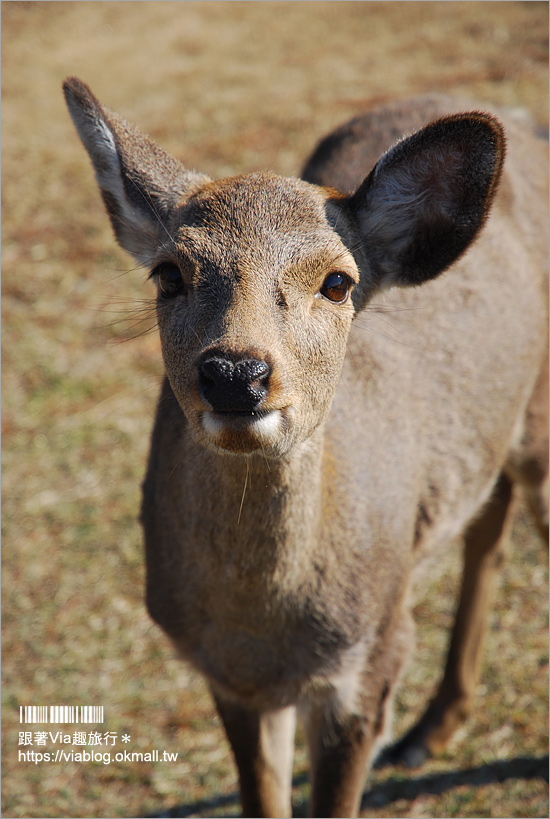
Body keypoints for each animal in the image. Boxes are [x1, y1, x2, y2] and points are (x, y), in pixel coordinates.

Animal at [62, 75, 548, 812]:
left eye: (338, 281)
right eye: (169, 272)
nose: (235, 373)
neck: (266, 633)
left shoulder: (372, 658)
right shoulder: (226, 675)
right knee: (488, 522)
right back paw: (431, 729)